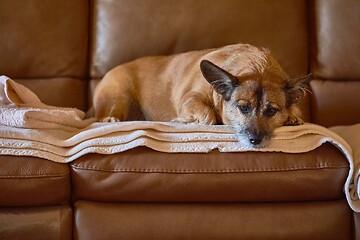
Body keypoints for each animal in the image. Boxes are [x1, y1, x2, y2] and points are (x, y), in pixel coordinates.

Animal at [93, 44, 310, 147]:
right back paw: (109, 119)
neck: (257, 66)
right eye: (243, 108)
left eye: (272, 111)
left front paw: (292, 117)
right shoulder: (190, 99)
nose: (255, 140)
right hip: (119, 95)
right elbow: (209, 117)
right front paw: (183, 121)